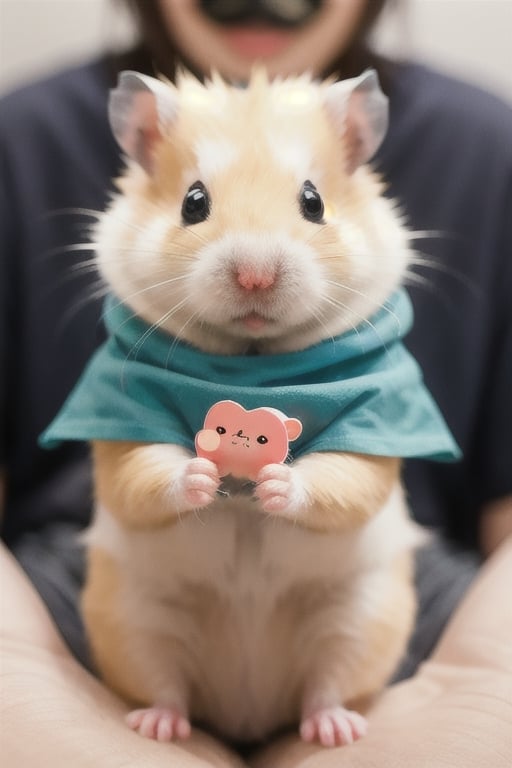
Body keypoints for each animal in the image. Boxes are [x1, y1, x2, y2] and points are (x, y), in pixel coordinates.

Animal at [81, 69, 420, 748]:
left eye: (314, 202)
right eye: (193, 202)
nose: (256, 277)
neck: (255, 359)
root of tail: (247, 712)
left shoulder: (376, 422)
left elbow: (344, 480)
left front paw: (272, 485)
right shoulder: (120, 416)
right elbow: (142, 473)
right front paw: (203, 476)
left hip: (360, 618)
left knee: (327, 686)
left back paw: (334, 731)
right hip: (134, 618)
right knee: (164, 685)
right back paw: (158, 727)